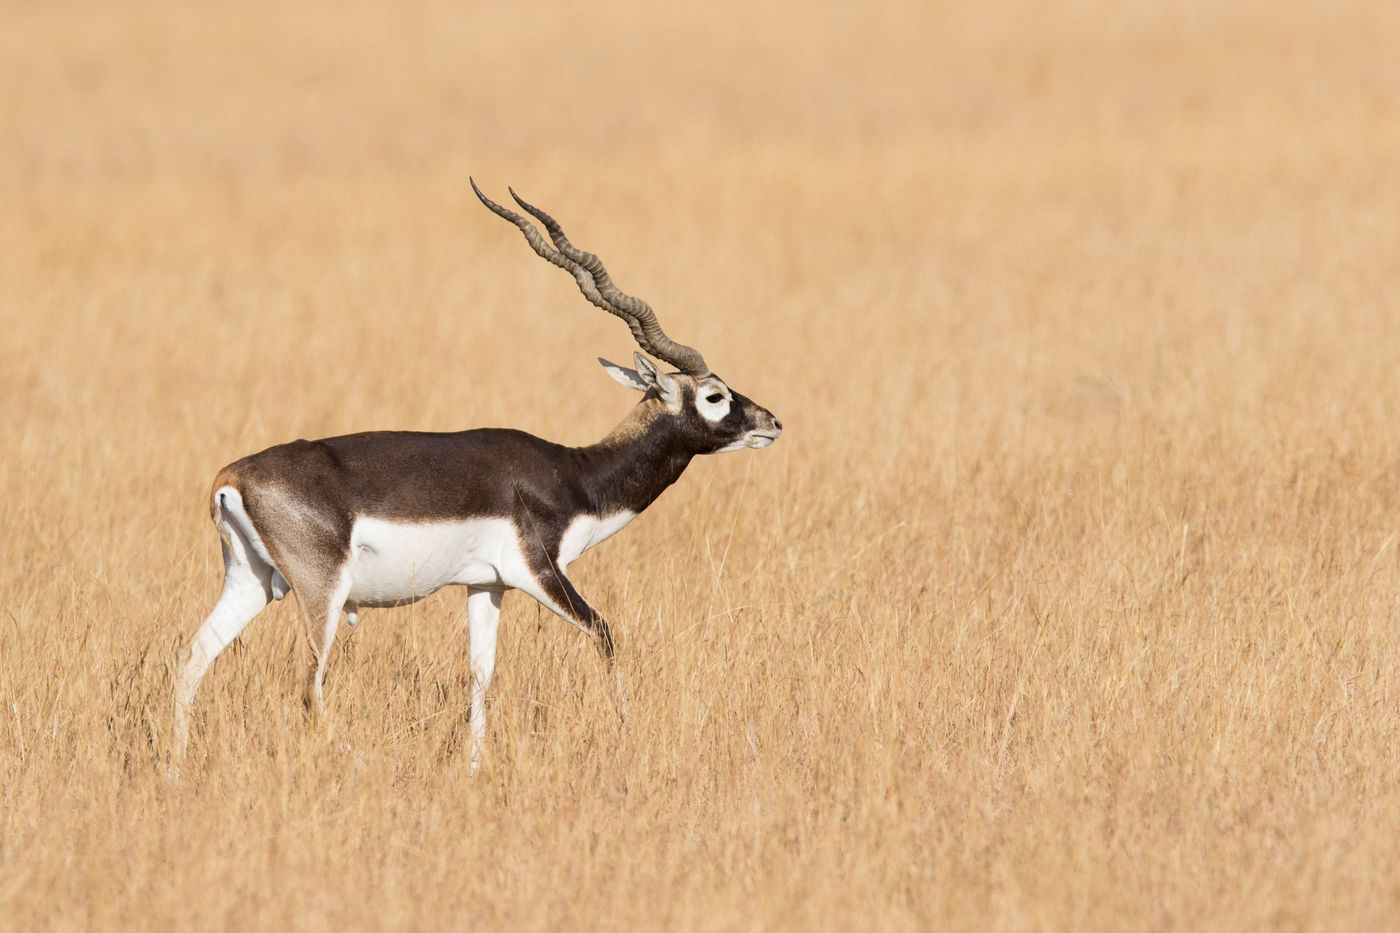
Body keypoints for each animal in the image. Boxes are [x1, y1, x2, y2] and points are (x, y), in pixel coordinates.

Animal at [173, 179, 784, 762]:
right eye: (714, 395)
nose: (772, 422)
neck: (576, 476)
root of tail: (231, 478)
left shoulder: (486, 585)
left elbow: (480, 677)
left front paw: (472, 767)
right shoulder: (540, 572)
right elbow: (605, 635)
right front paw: (626, 732)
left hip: (251, 580)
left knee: (190, 658)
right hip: (322, 591)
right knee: (308, 686)